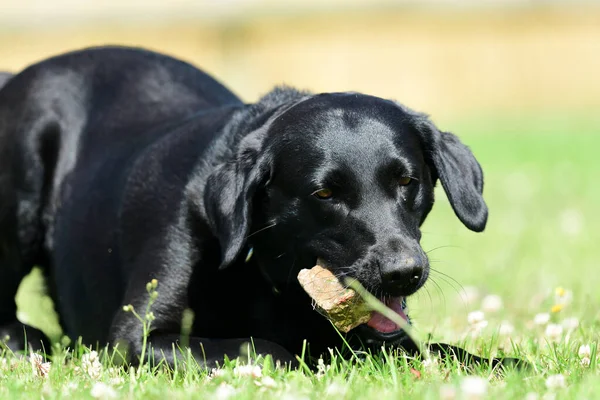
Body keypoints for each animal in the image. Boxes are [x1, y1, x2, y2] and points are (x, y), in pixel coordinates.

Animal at [0, 46, 516, 368]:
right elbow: (262, 348)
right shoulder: (136, 337)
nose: (402, 272)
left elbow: (439, 350)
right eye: (324, 194)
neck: (270, 276)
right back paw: (24, 341)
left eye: (407, 181)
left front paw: (500, 363)